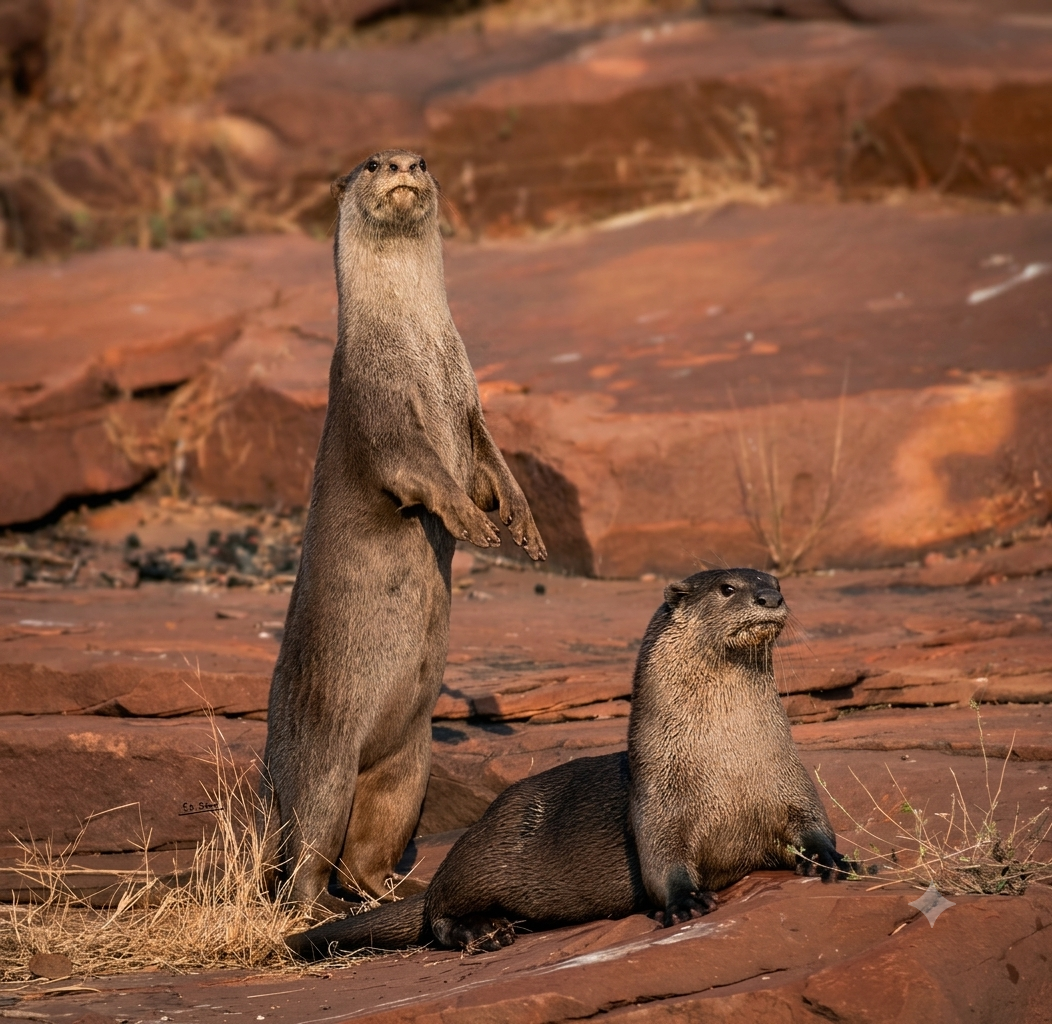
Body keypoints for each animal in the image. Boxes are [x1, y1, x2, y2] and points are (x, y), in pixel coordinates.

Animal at [262, 149, 546, 916]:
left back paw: (398, 890)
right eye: (370, 162)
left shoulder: (470, 403)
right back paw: (318, 912)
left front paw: (525, 524)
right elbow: (423, 472)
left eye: (423, 160)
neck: (418, 348)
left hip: (407, 764)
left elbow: (492, 461)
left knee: (364, 852)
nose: (402, 165)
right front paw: (474, 522)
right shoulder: (382, 408)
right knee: (306, 857)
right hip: (321, 763)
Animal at [286, 568, 851, 955]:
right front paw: (686, 903)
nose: (771, 597)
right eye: (727, 588)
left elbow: (816, 826)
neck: (727, 762)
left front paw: (831, 861)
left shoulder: (788, 779)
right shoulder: (657, 802)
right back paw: (487, 931)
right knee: (438, 912)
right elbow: (662, 864)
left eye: (774, 580)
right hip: (479, 858)